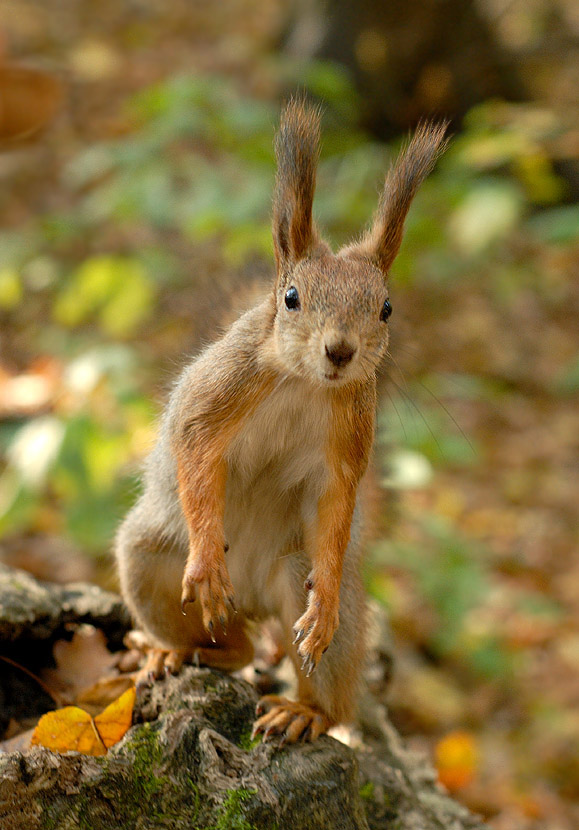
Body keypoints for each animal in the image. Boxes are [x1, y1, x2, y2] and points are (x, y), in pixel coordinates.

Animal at [114, 101, 448, 744]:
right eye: (291, 297)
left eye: (386, 308)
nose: (340, 351)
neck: (304, 383)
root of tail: (253, 604)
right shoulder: (222, 390)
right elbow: (196, 450)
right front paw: (206, 560)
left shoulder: (351, 433)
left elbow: (338, 497)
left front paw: (323, 607)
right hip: (148, 560)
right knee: (231, 645)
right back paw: (179, 647)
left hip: (300, 577)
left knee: (316, 662)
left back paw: (306, 709)